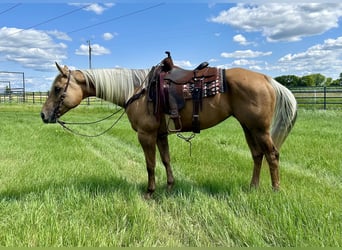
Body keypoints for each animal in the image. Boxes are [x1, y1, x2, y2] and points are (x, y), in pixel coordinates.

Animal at [40, 58, 296, 197]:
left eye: (57, 88)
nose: (43, 115)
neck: (137, 90)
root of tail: (267, 79)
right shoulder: (161, 134)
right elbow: (165, 160)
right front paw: (170, 187)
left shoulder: (146, 135)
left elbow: (150, 164)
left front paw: (150, 191)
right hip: (247, 127)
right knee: (257, 155)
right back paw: (253, 187)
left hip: (259, 129)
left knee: (272, 155)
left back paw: (275, 190)